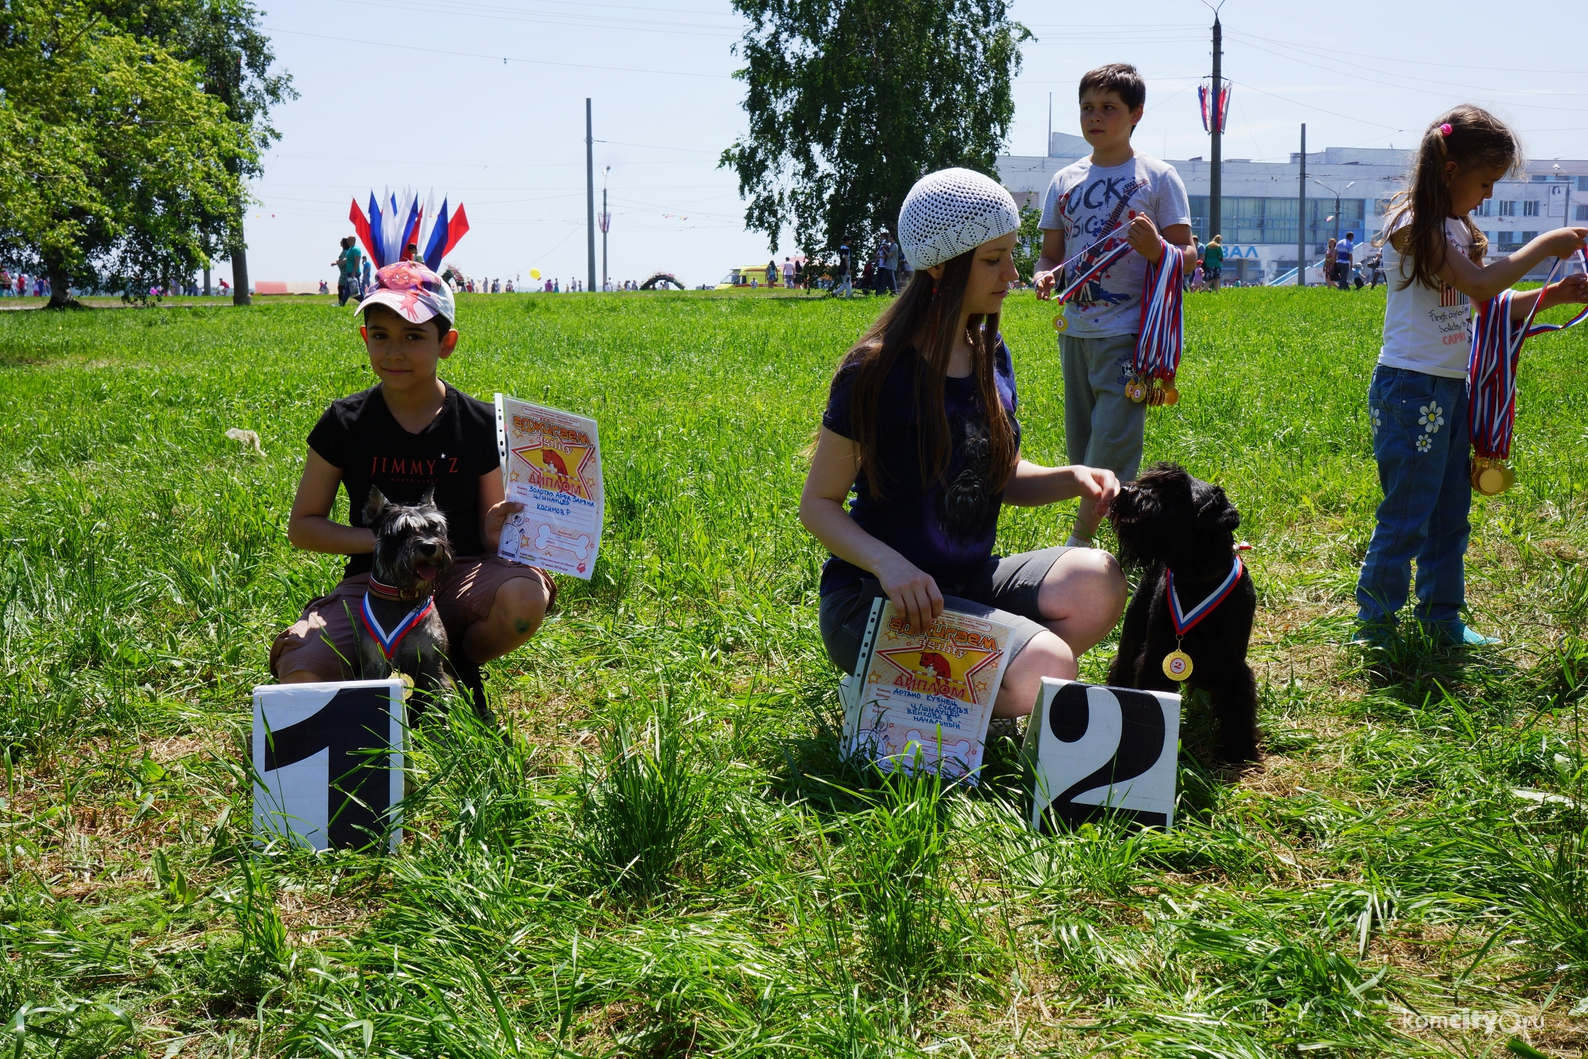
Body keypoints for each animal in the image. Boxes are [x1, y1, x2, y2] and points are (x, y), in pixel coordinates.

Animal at [354, 485, 460, 720]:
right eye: (401, 531)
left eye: (434, 527)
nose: (429, 547)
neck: (401, 597)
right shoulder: (374, 665)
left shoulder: (433, 665)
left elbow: (439, 703)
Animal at [1111, 463, 1257, 762]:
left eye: (1177, 493)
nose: (1125, 491)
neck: (1197, 582)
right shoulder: (1155, 658)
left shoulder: (1232, 664)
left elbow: (1237, 704)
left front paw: (1237, 749)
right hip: (1131, 634)